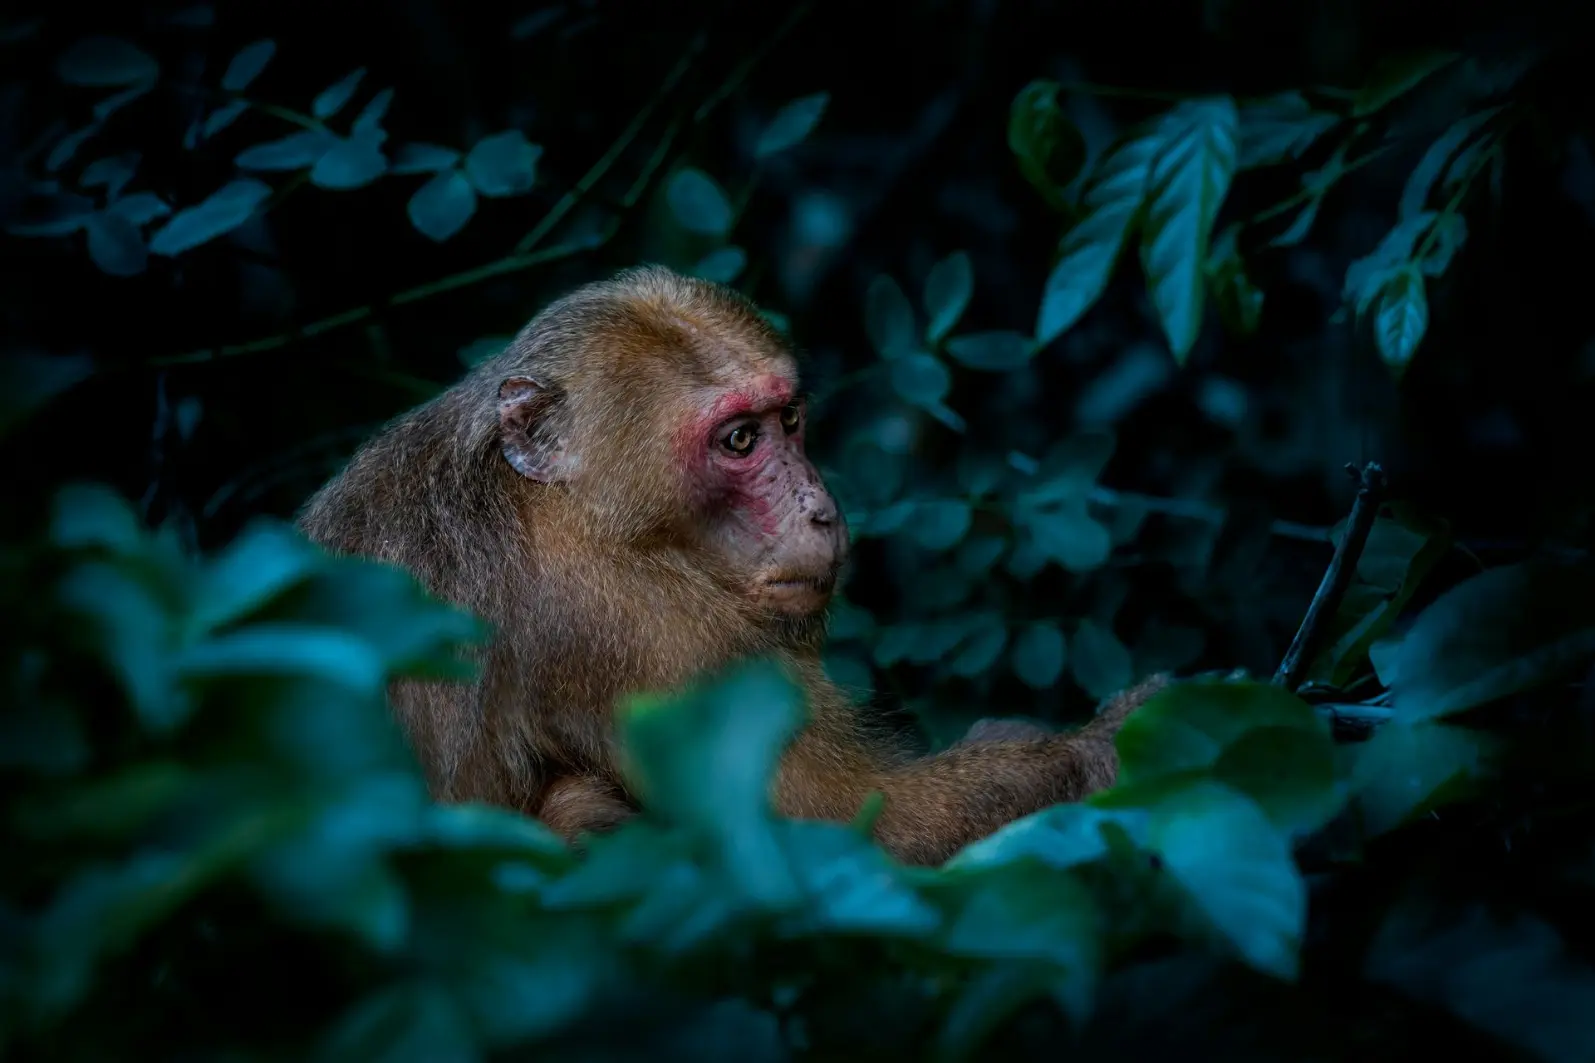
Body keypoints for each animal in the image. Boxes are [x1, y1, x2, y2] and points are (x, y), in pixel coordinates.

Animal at [297, 265, 1169, 866]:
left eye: (789, 419)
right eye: (739, 441)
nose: (819, 507)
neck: (567, 506)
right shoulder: (646, 629)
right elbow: (865, 833)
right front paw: (1106, 745)